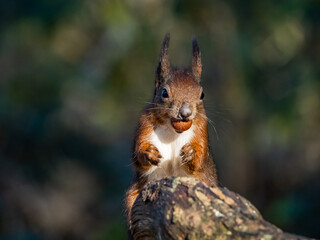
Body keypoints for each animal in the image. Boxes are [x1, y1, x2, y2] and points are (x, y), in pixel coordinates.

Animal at [125, 34, 218, 221]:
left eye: (202, 94)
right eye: (164, 93)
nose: (185, 113)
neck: (172, 130)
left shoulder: (201, 129)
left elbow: (199, 159)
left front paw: (191, 153)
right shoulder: (144, 125)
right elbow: (138, 157)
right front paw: (149, 152)